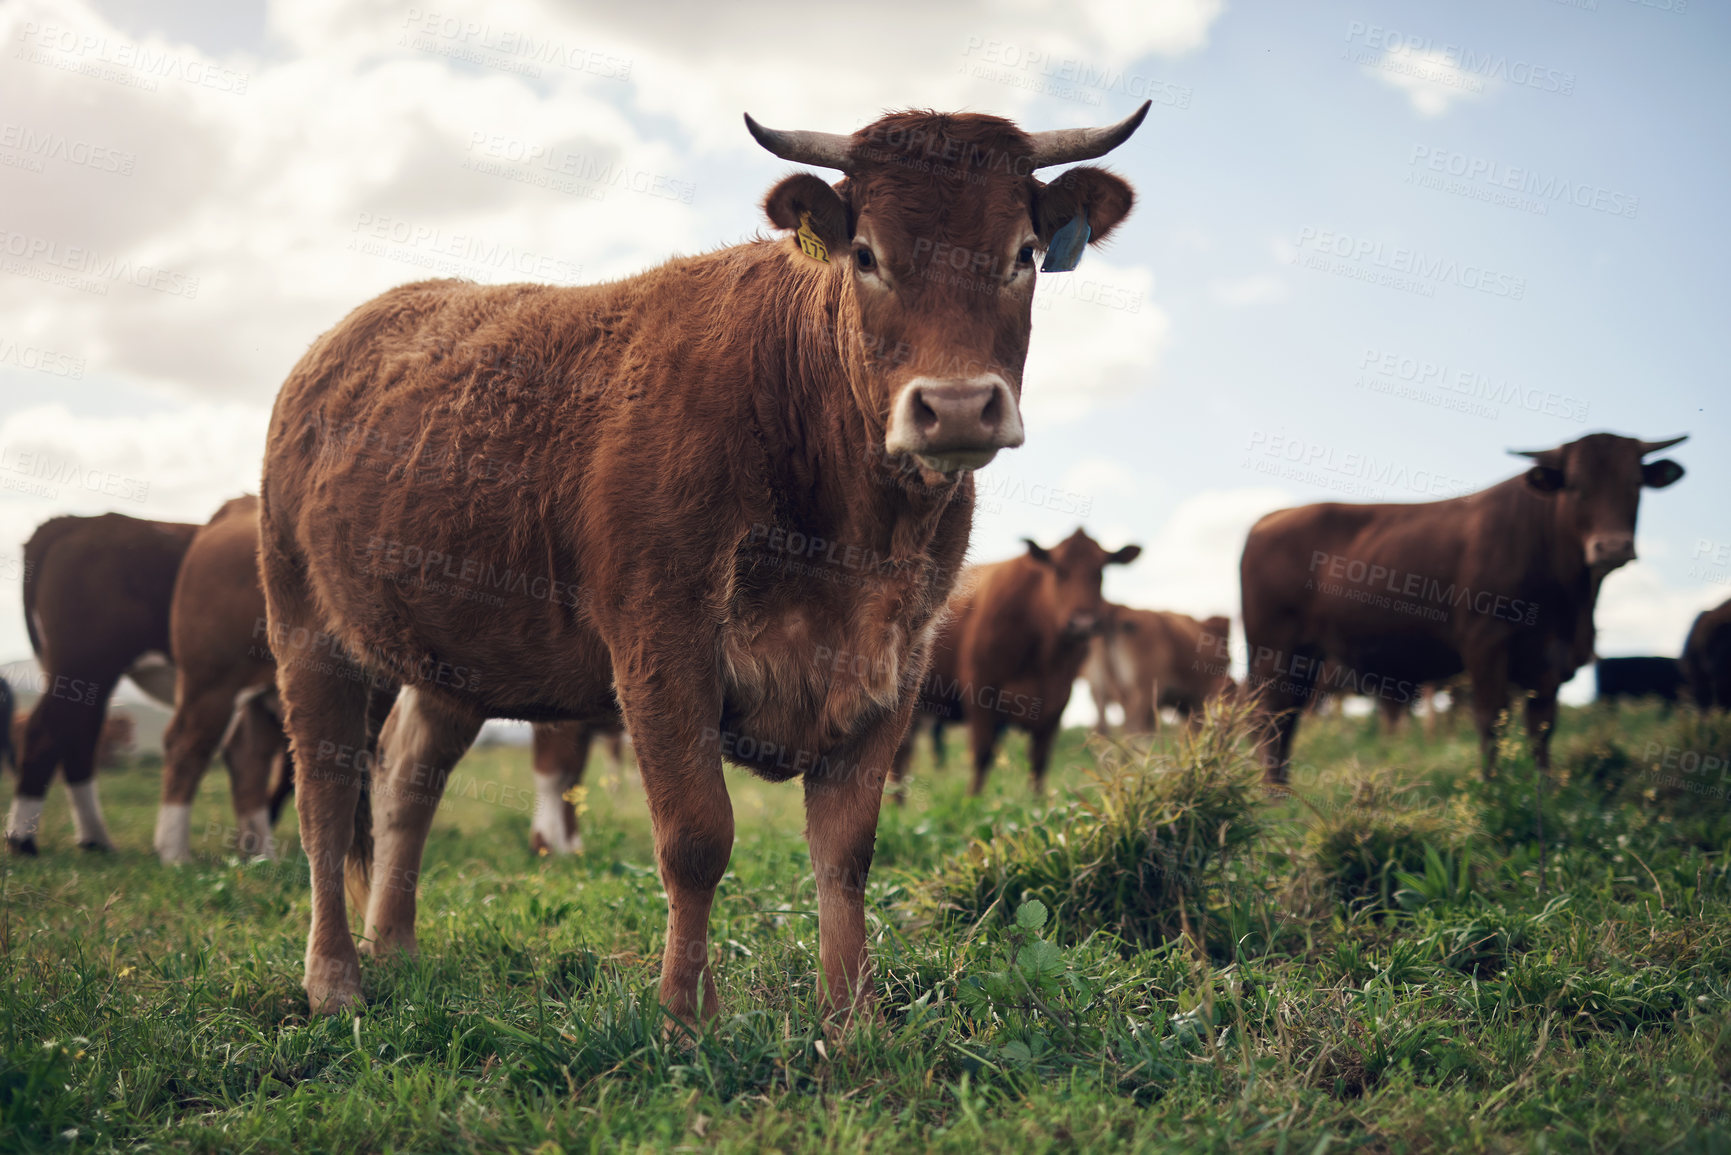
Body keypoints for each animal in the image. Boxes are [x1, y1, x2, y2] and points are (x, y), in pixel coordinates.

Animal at [900, 529, 1142, 796]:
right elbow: (982, 755)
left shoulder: (1056, 703)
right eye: (1059, 570)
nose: (1083, 624)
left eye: (1100, 572)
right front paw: (972, 799)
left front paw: (1038, 801)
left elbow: (1039, 762)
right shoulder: (980, 694)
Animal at [1080, 606, 1232, 730]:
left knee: (1102, 728)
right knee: (1133, 726)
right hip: (1143, 690)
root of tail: (1117, 609)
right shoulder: (1199, 695)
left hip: (1099, 690)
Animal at [1246, 432, 1689, 786]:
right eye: (1575, 486)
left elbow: (1542, 726)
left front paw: (1544, 789)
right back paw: (1273, 796)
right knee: (1271, 718)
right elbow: (1491, 719)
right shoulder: (1485, 644)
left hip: (1307, 658)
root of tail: (1272, 518)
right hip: (1275, 650)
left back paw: (1284, 790)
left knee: (1287, 718)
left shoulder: (1550, 660)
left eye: (1635, 484)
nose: (1612, 546)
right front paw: (1493, 790)